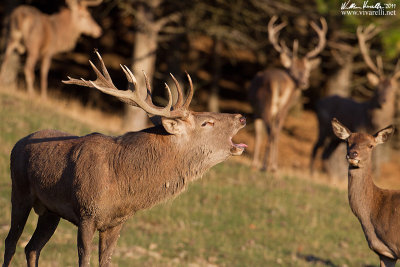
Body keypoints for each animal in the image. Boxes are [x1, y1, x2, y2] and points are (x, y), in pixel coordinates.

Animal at [2, 50, 247, 267]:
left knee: (32, 247)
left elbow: (106, 261)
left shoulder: (117, 222)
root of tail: (18, 143)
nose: (241, 117)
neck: (122, 184)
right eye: (207, 123)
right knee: (11, 241)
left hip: (50, 211)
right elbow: (84, 260)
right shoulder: (86, 214)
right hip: (19, 191)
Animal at [248, 16, 326, 172]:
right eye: (294, 70)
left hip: (268, 105)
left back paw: (268, 166)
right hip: (281, 108)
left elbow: (259, 134)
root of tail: (277, 84)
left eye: (307, 71)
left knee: (271, 130)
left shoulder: (256, 111)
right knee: (276, 131)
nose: (304, 82)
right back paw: (272, 166)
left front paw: (256, 163)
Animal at [308, 24, 398, 176]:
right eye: (377, 88)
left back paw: (330, 175)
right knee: (315, 147)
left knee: (326, 153)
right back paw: (312, 171)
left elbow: (378, 157)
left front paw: (377, 174)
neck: (372, 122)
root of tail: (319, 102)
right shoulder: (358, 127)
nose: (384, 100)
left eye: (393, 90)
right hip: (323, 126)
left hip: (334, 138)